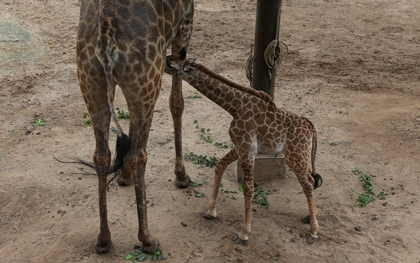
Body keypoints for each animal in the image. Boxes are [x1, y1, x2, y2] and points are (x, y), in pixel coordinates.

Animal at [76, 0, 194, 255]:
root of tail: (105, 34)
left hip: (93, 82)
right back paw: (147, 239)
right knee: (137, 155)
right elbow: (177, 103)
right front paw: (181, 175)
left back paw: (103, 240)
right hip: (147, 79)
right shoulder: (185, 26)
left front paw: (123, 177)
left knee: (102, 155)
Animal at [164, 50, 322, 245]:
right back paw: (310, 217)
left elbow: (248, 187)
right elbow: (220, 165)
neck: (234, 106)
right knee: (311, 180)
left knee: (307, 183)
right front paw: (210, 211)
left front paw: (244, 232)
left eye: (171, 64)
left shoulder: (247, 149)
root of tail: (311, 127)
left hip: (295, 156)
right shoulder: (240, 146)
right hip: (301, 156)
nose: (160, 64)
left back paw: (313, 230)